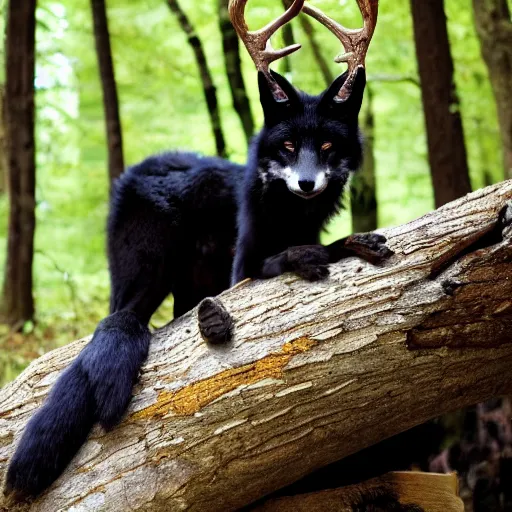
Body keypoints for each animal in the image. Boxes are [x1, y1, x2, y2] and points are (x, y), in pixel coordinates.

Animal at [5, 66, 388, 498]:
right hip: (147, 279)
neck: (288, 216)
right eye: (288, 145)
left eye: (326, 145)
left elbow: (326, 244)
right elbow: (286, 259)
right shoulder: (243, 268)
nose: (307, 184)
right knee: (121, 321)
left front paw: (356, 244)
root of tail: (138, 169)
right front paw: (311, 256)